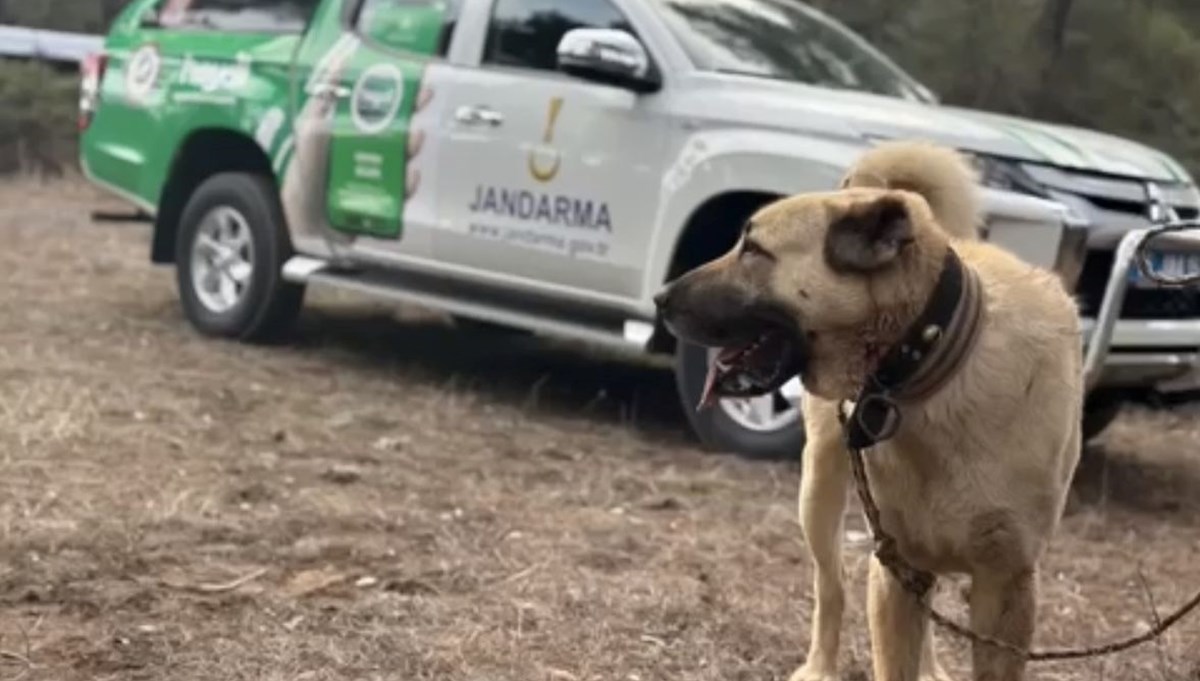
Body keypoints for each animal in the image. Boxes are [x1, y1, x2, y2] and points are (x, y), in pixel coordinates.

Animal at [652, 140, 1084, 676]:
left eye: (754, 251)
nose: (659, 298)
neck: (933, 365)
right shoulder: (894, 567)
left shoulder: (1005, 583)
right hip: (819, 493)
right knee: (831, 587)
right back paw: (819, 667)